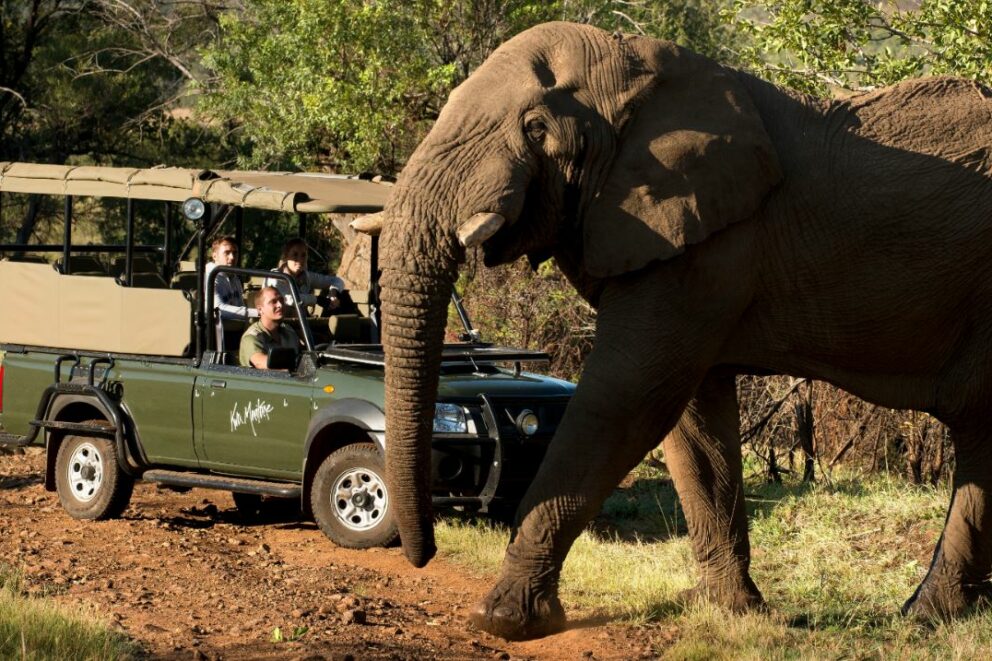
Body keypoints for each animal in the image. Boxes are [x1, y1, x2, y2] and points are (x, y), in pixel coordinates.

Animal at [368, 21, 992, 640]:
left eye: (536, 127)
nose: (419, 553)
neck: (641, 71)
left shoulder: (707, 246)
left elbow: (628, 398)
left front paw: (503, 619)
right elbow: (694, 422)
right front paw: (734, 612)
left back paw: (924, 617)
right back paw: (933, 616)